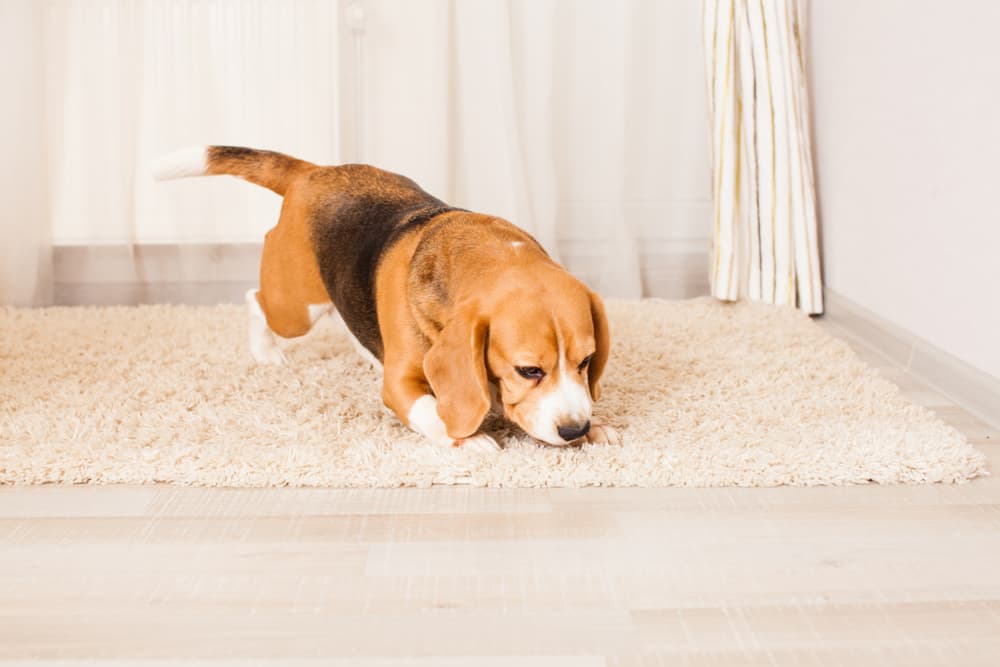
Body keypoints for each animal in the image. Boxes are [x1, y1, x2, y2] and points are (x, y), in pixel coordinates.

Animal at [150, 144, 616, 452]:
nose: (575, 430)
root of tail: (313, 172)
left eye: (587, 361)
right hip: (296, 308)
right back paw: (265, 351)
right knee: (256, 300)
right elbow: (432, 411)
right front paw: (468, 440)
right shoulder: (400, 385)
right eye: (529, 370)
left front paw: (597, 428)